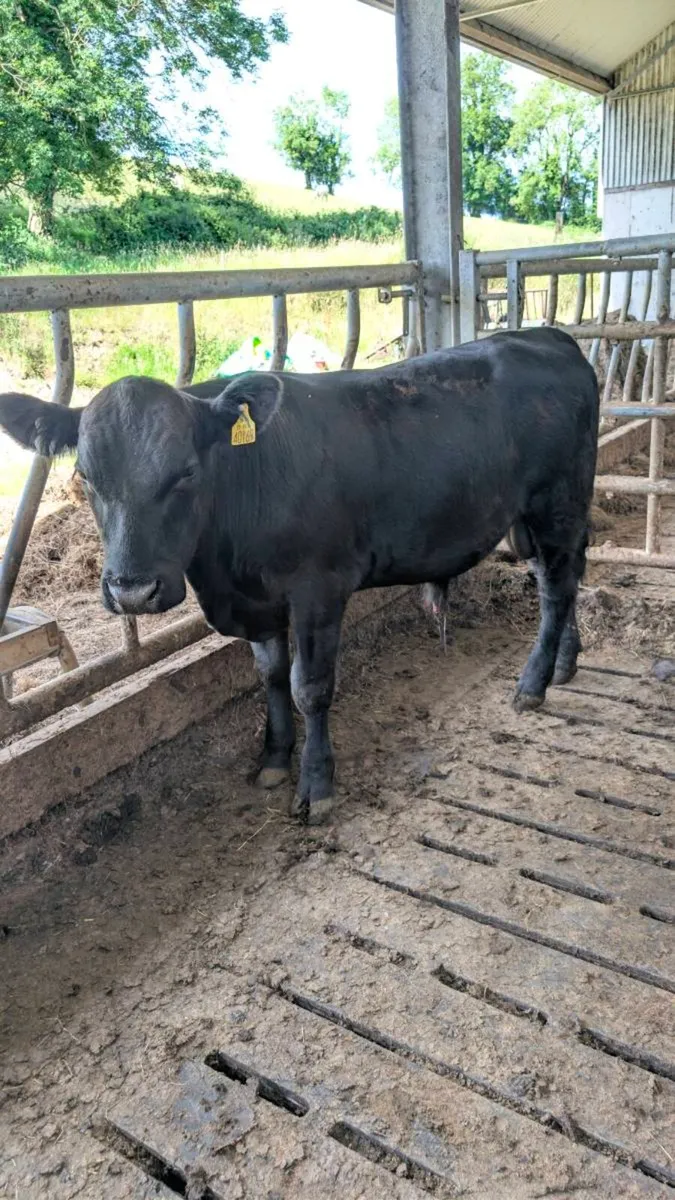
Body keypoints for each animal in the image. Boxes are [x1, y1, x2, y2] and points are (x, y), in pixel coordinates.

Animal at [0, 327, 599, 824]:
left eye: (187, 472)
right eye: (84, 476)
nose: (132, 591)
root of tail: (548, 336)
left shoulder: (318, 590)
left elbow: (308, 686)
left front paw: (316, 786)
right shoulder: (257, 604)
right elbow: (268, 677)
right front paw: (272, 758)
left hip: (558, 502)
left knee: (555, 588)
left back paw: (533, 684)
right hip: (532, 519)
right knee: (565, 579)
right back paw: (565, 664)